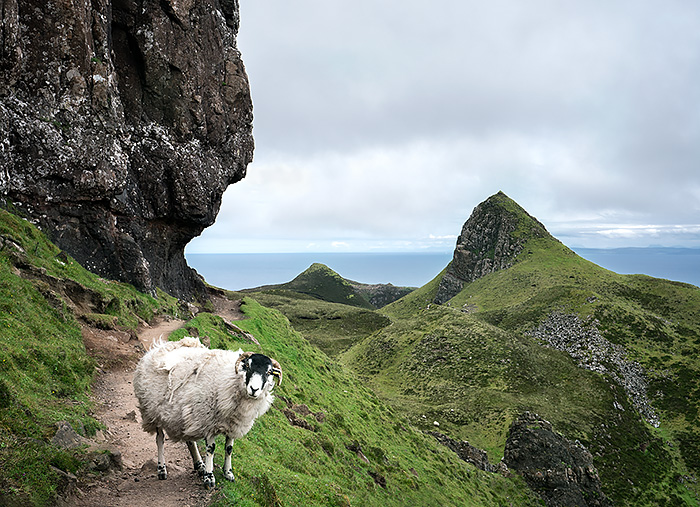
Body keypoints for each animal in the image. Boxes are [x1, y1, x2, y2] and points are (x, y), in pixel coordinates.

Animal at [134, 338, 282, 488]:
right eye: (247, 365)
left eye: (269, 372)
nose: (254, 389)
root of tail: (158, 347)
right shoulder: (209, 421)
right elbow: (211, 449)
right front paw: (209, 477)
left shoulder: (232, 424)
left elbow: (229, 448)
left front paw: (228, 472)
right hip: (152, 412)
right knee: (160, 439)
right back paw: (162, 469)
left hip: (185, 413)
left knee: (189, 440)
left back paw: (199, 465)